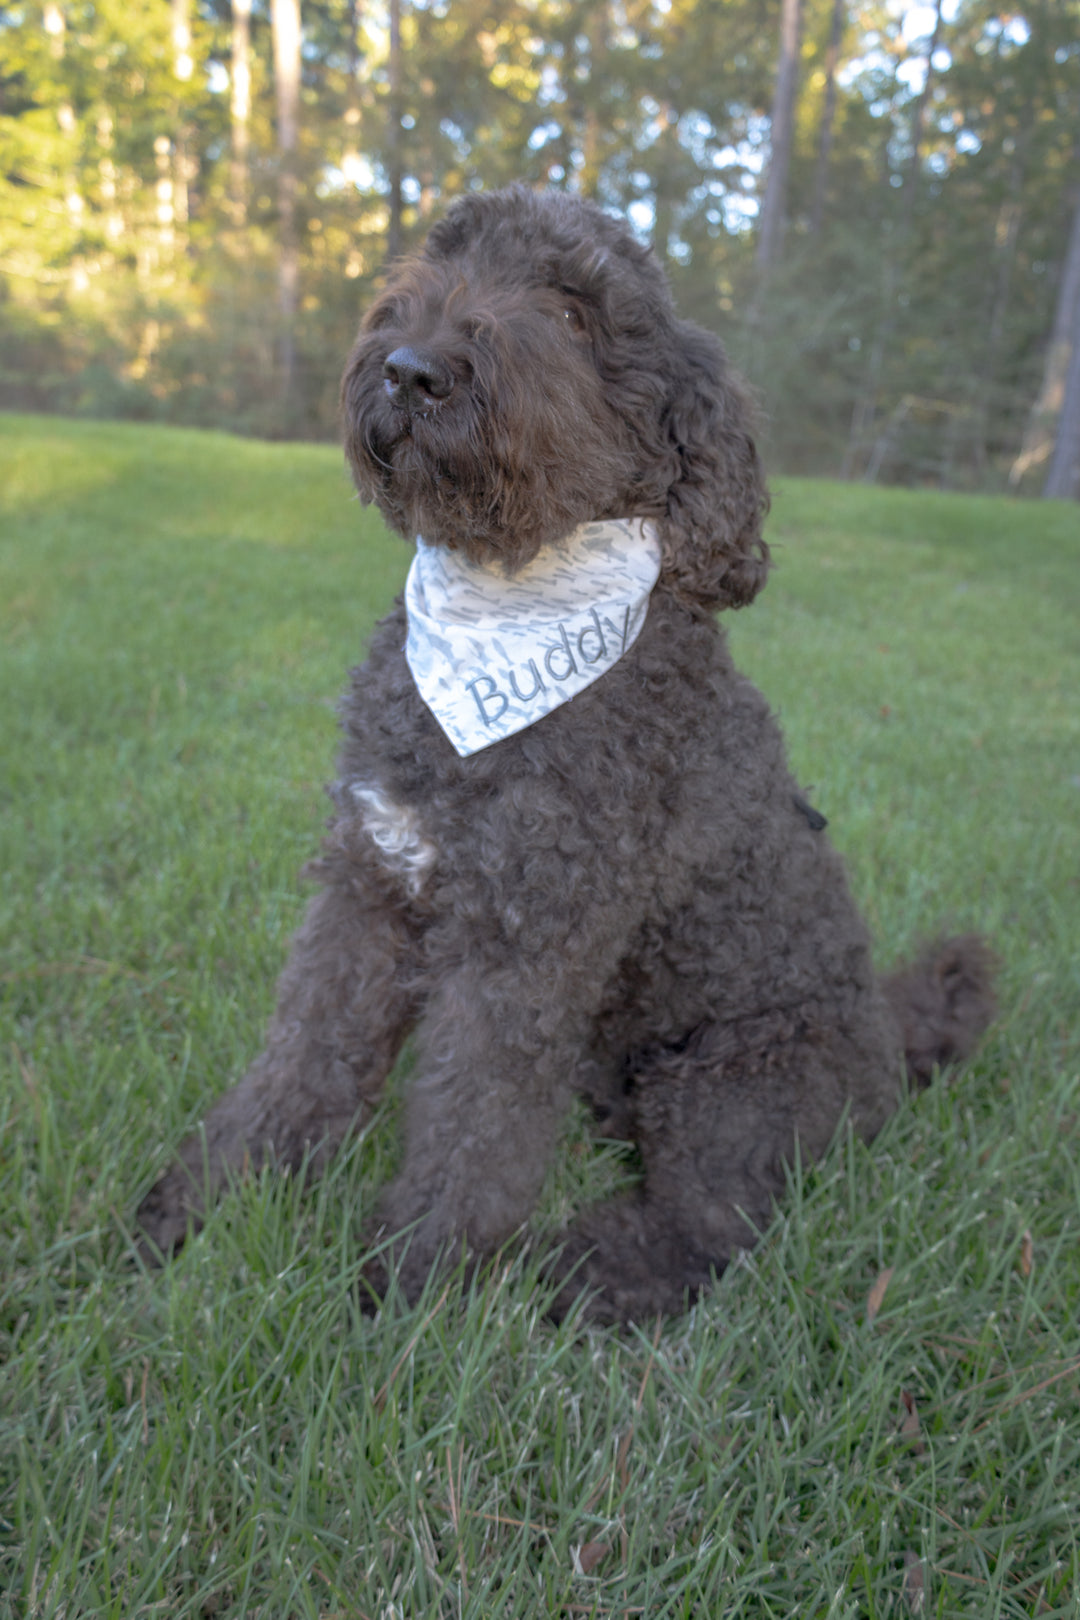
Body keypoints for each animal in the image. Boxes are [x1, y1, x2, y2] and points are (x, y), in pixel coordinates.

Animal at [137, 183, 997, 1321]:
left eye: (575, 315)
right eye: (443, 258)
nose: (413, 368)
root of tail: (889, 1049)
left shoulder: (525, 942)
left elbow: (475, 1125)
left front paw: (410, 1288)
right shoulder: (369, 888)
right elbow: (304, 1059)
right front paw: (206, 1202)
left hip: (729, 1089)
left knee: (708, 1230)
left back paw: (580, 1275)